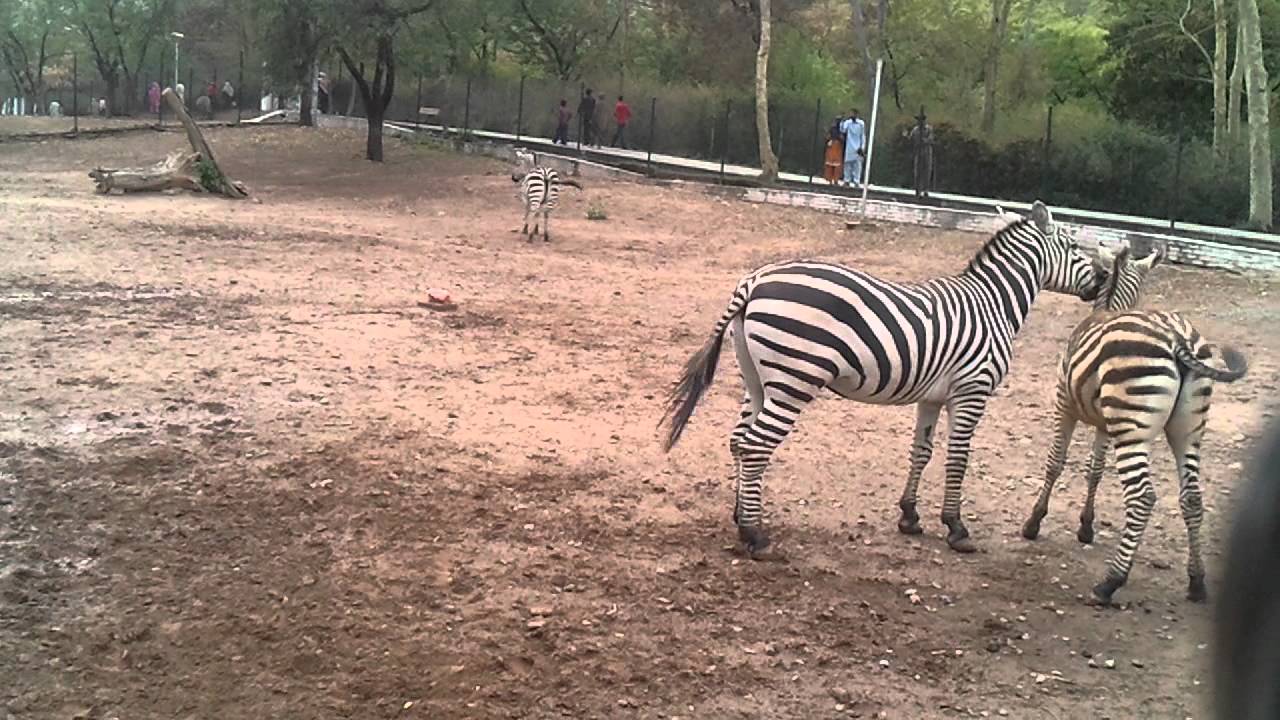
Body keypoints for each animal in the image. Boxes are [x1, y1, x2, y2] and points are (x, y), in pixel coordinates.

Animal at [660, 201, 1108, 556]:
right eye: (1073, 246)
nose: (1104, 279)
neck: (992, 303)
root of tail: (755, 280)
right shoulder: (972, 390)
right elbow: (958, 458)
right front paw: (956, 527)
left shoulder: (933, 396)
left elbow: (921, 452)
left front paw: (910, 516)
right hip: (795, 379)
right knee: (755, 446)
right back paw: (755, 536)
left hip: (756, 378)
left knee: (739, 441)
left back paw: (741, 517)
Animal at [1020, 243, 1248, 605]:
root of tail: (1177, 338)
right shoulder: (1104, 423)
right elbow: (1094, 469)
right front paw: (1086, 527)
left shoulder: (1063, 403)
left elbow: (1055, 462)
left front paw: (1033, 522)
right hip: (1187, 430)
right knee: (1192, 498)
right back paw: (1196, 582)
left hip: (1132, 430)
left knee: (1143, 497)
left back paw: (1111, 581)